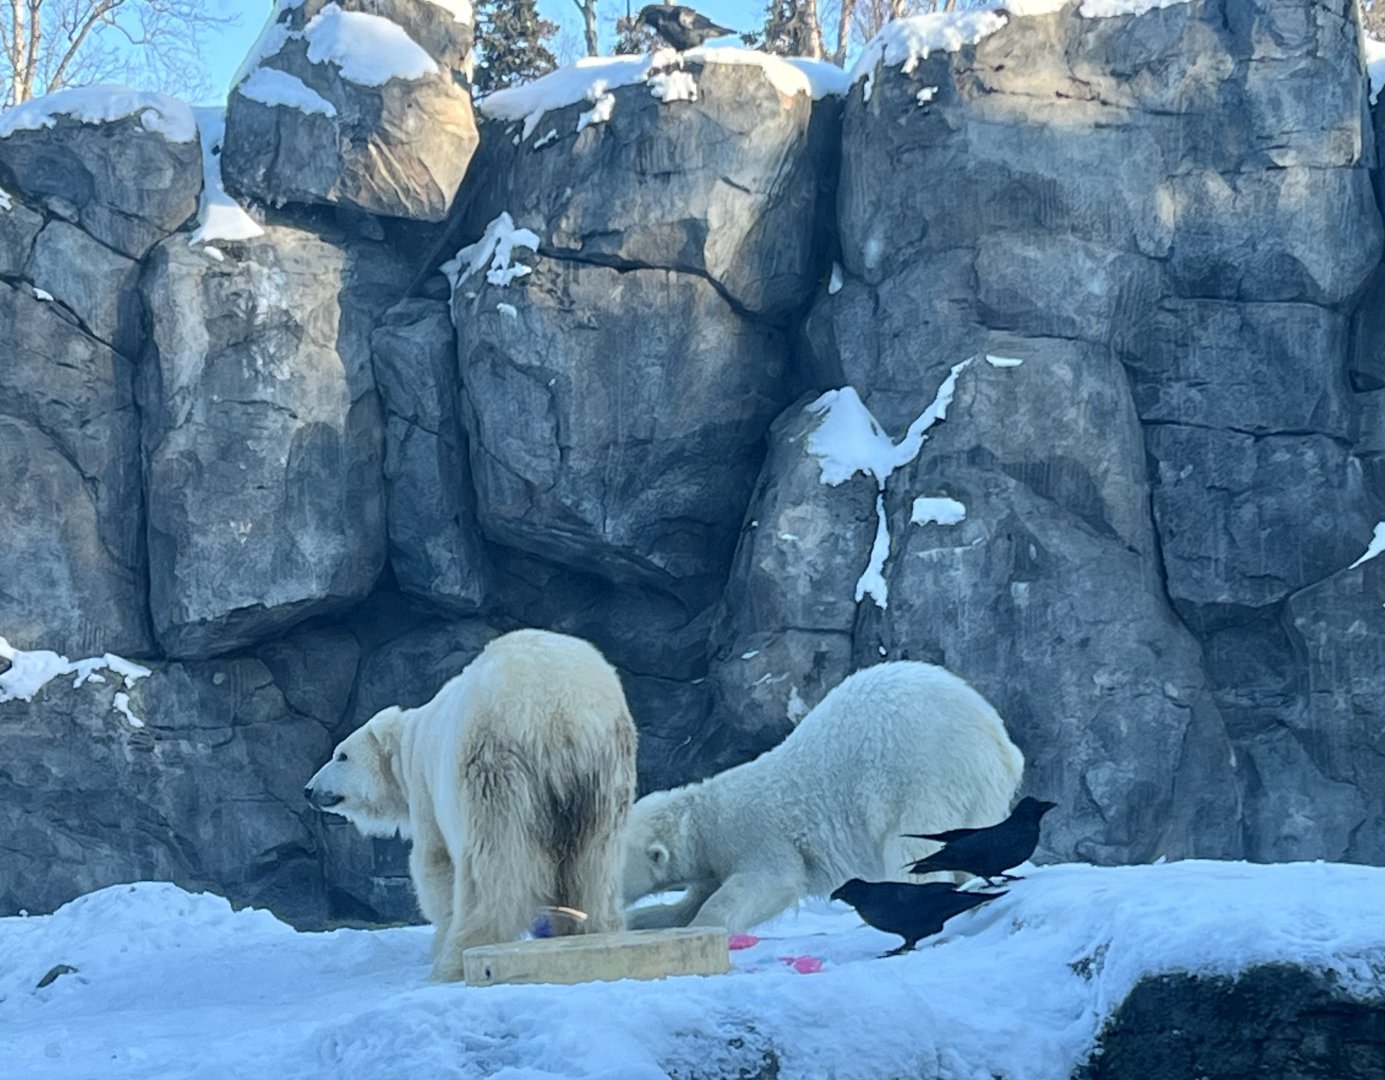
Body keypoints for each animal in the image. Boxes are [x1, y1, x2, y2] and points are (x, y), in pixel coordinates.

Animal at [305, 628, 638, 981]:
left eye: (341, 755)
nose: (308, 790)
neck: (412, 739)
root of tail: (560, 714)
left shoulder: (426, 787)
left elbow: (435, 864)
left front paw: (439, 939)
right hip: (604, 774)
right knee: (596, 860)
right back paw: (597, 929)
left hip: (493, 766)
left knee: (493, 863)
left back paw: (459, 955)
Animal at [621, 660, 1024, 933]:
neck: (704, 818)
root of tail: (997, 738)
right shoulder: (712, 862)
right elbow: (687, 903)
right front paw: (641, 920)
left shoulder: (753, 835)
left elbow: (767, 883)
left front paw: (704, 928)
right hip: (977, 790)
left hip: (924, 772)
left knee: (911, 845)